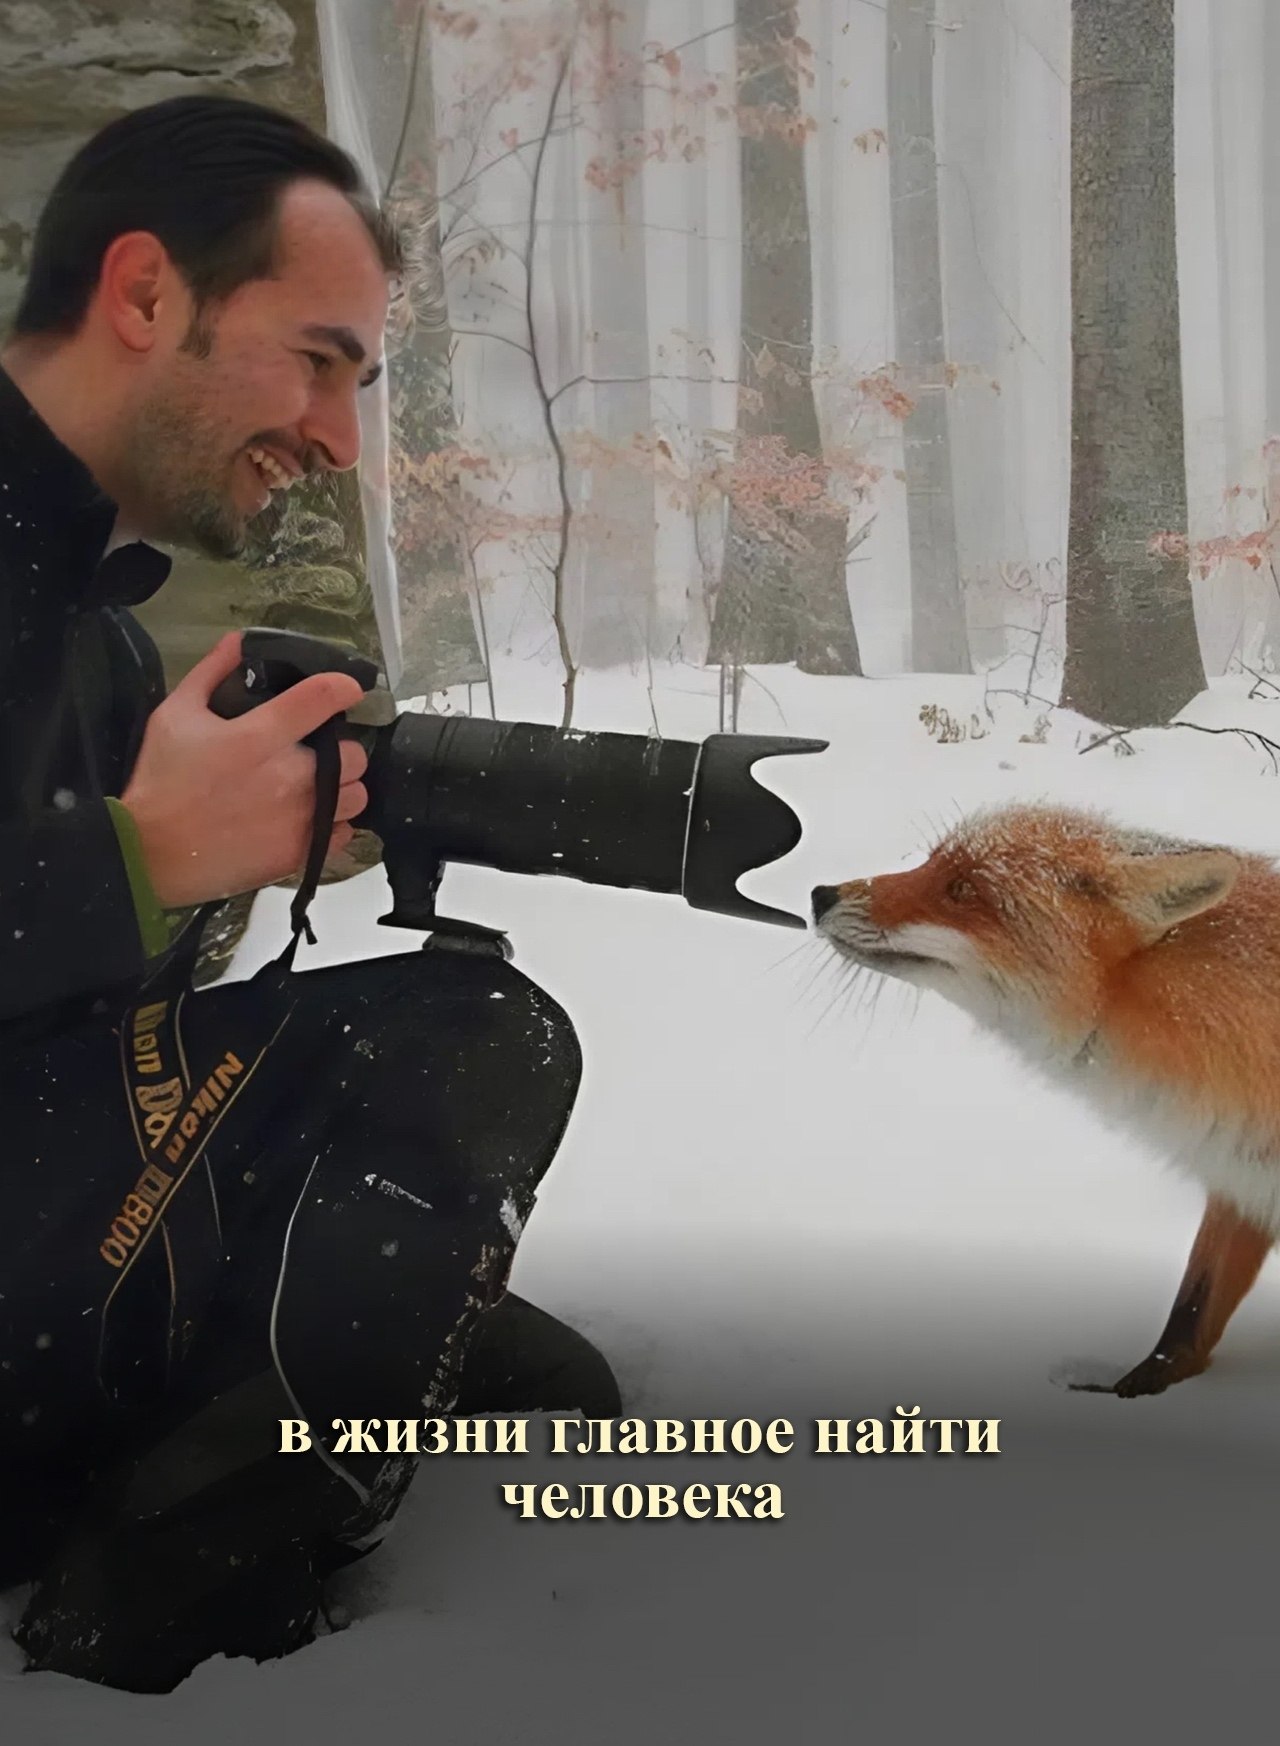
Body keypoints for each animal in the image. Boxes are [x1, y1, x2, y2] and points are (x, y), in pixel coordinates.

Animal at [811, 802, 1280, 1398]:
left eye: (963, 889)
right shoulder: (1242, 1181)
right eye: (930, 862)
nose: (820, 894)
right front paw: (1132, 1392)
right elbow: (1189, 1315)